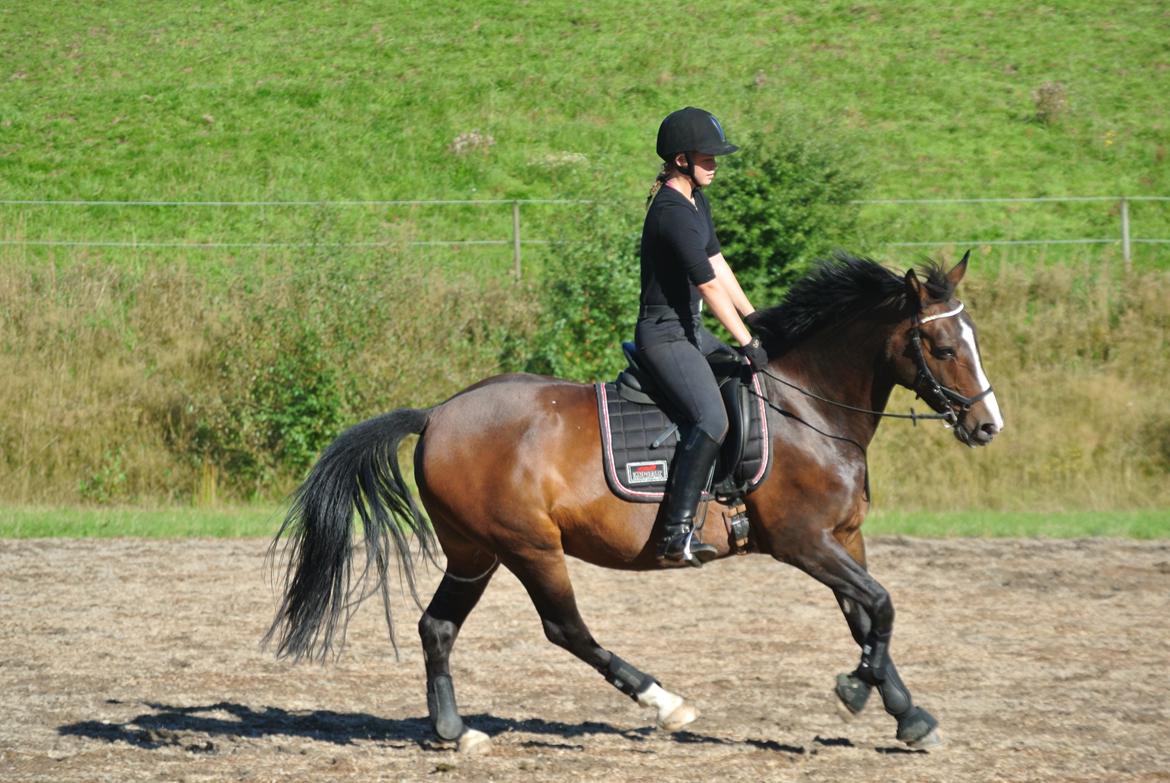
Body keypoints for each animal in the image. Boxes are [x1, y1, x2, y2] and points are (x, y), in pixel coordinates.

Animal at [265, 250, 1006, 749]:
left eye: (971, 338)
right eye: (942, 345)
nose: (987, 426)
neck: (807, 407)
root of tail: (438, 414)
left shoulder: (842, 538)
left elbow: (868, 615)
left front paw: (908, 714)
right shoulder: (803, 541)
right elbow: (881, 604)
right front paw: (856, 690)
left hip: (476, 551)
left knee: (438, 626)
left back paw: (454, 731)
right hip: (529, 546)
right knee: (566, 628)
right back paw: (664, 701)